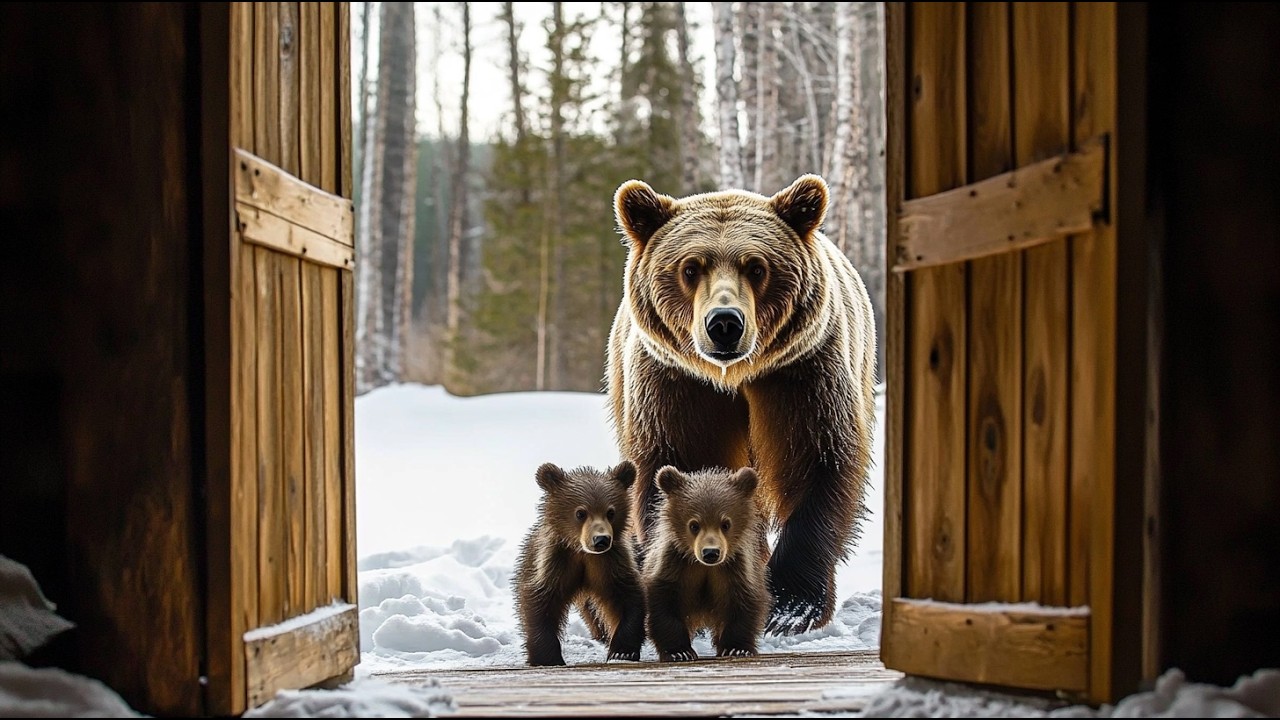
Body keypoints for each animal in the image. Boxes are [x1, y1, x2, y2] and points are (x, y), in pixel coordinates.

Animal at [512, 460, 647, 666]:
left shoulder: (611, 564)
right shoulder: (556, 563)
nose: (601, 539)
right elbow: (539, 601)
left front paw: (621, 652)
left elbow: (629, 598)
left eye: (610, 512)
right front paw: (547, 657)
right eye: (581, 513)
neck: (583, 553)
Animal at [606, 173, 878, 636]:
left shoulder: (800, 375)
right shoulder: (677, 385)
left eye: (756, 266)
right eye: (690, 267)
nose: (725, 323)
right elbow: (680, 464)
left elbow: (818, 460)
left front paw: (791, 605)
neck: (733, 376)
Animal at [643, 465, 770, 661]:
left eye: (725, 524)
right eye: (694, 525)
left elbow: (743, 605)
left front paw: (736, 648)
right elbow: (664, 605)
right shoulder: (675, 565)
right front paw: (679, 651)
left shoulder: (735, 569)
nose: (711, 553)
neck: (704, 567)